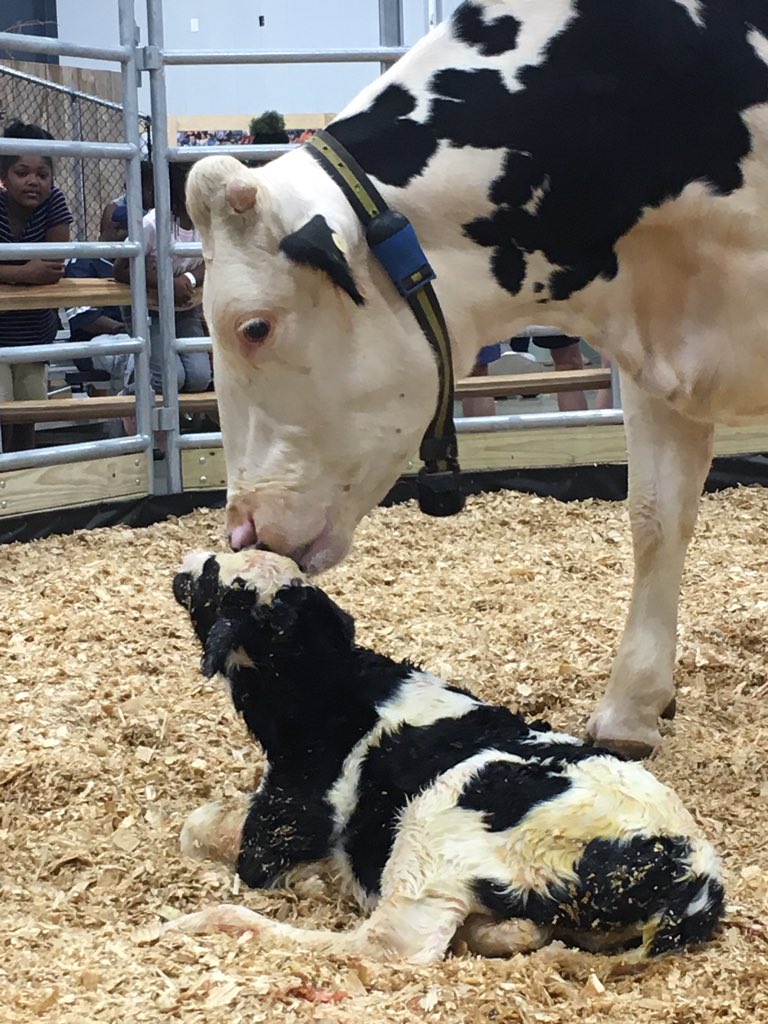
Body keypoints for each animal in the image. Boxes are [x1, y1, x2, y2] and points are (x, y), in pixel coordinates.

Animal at [148, 548, 725, 964]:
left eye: (213, 574)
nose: (187, 561)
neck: (332, 688)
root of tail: (692, 878)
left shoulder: (282, 823)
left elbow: (204, 832)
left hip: (438, 820)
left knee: (389, 946)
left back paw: (199, 922)